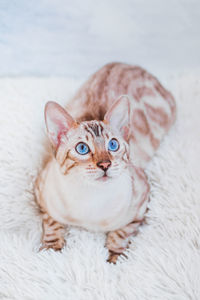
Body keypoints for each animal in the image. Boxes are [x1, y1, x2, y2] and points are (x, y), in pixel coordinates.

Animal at [34, 62, 177, 262]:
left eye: (113, 145)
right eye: (82, 148)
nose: (105, 165)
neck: (90, 200)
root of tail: (133, 65)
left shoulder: (142, 202)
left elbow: (121, 233)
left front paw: (115, 259)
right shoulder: (40, 195)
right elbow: (52, 224)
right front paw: (50, 252)